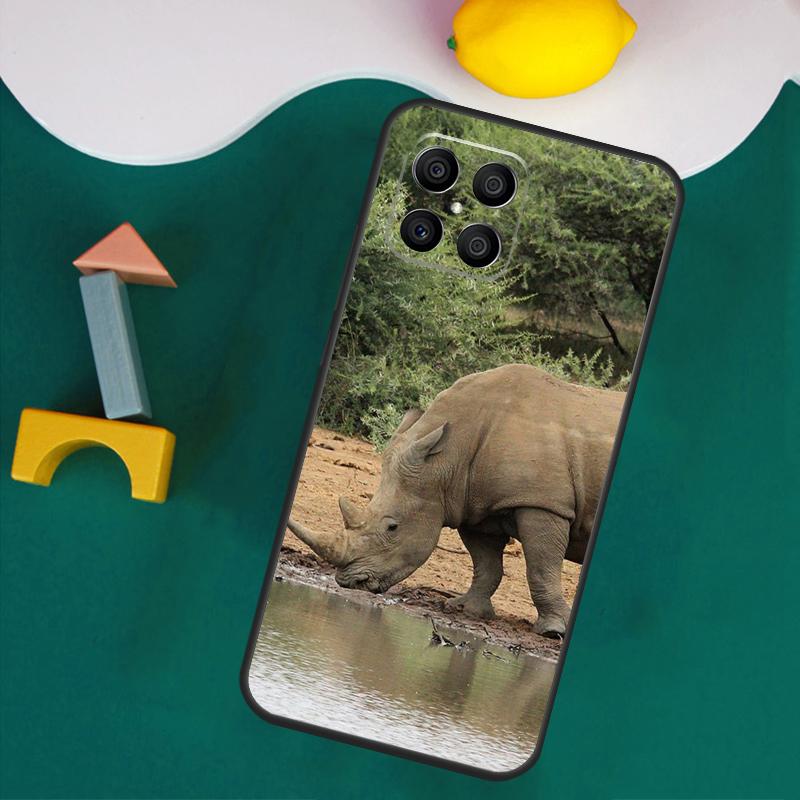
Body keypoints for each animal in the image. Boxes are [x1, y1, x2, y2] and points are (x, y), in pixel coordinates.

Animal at [288, 363, 625, 638]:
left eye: (392, 527)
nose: (349, 582)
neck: (447, 457)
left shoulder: (542, 503)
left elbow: (541, 568)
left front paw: (554, 631)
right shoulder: (474, 505)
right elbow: (486, 564)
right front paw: (465, 610)